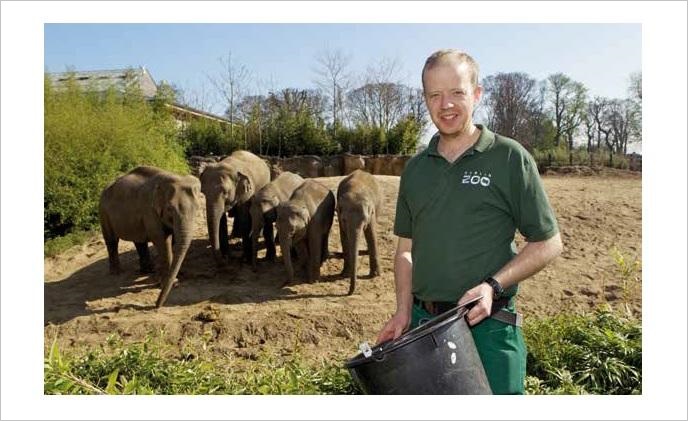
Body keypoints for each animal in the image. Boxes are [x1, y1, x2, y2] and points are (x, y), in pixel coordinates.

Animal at [99, 166, 202, 306]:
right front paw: (172, 283)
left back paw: (147, 270)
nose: (156, 305)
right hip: (103, 213)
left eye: (197, 208)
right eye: (169, 209)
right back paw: (116, 272)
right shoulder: (150, 211)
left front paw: (174, 278)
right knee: (112, 241)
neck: (173, 176)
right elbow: (162, 240)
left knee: (139, 240)